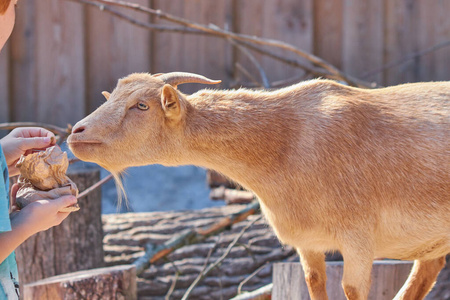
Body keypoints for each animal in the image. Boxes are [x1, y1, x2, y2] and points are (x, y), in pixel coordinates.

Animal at [67, 72, 450, 300]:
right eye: (111, 97)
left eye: (141, 105)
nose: (76, 132)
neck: (286, 143)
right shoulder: (308, 244)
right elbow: (316, 285)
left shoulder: (358, 240)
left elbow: (352, 289)